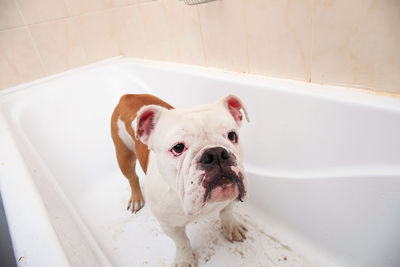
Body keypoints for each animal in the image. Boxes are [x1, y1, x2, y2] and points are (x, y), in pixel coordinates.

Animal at [111, 94, 250, 267]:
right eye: (178, 148)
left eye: (232, 135)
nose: (216, 153)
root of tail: (128, 96)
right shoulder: (170, 225)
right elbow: (182, 242)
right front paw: (184, 259)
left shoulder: (231, 197)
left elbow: (227, 211)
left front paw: (231, 226)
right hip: (124, 155)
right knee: (132, 177)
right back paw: (136, 198)